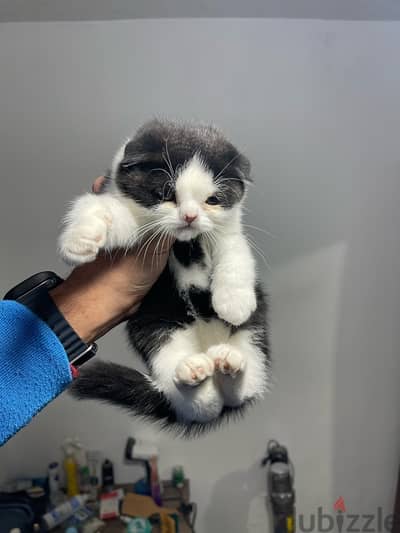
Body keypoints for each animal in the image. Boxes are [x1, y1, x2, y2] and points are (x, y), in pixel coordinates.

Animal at [61, 118, 268, 434]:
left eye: (213, 200)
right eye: (167, 194)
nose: (190, 217)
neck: (184, 243)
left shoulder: (228, 229)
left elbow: (235, 252)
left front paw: (234, 303)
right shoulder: (134, 221)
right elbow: (104, 209)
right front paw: (81, 238)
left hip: (255, 336)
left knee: (244, 386)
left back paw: (230, 363)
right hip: (155, 325)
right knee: (201, 402)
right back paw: (194, 371)